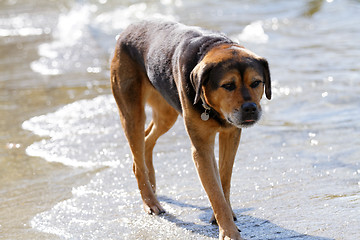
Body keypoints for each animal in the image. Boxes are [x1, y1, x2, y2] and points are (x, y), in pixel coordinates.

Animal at [111, 20, 272, 240]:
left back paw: (151, 181)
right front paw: (228, 231)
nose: (250, 108)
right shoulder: (201, 148)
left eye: (256, 83)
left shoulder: (230, 134)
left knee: (147, 140)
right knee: (138, 146)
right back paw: (150, 201)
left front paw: (223, 215)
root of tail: (128, 29)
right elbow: (215, 192)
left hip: (166, 113)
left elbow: (224, 178)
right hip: (131, 111)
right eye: (228, 85)